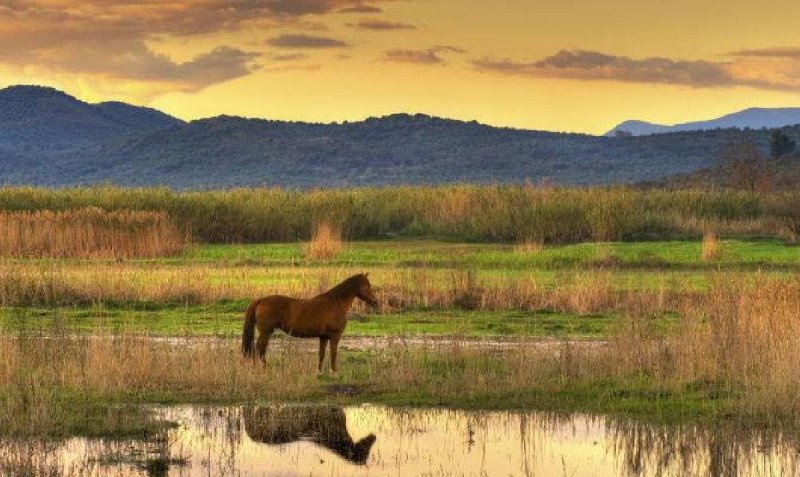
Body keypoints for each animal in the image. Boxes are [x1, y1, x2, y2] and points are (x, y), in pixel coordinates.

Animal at [241, 272, 378, 372]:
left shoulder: (324, 336)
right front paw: (333, 372)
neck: (336, 302)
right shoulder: (335, 336)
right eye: (367, 285)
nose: (375, 302)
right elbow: (333, 353)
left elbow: (321, 354)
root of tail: (261, 300)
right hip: (266, 332)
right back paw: (262, 367)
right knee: (260, 348)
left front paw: (319, 371)